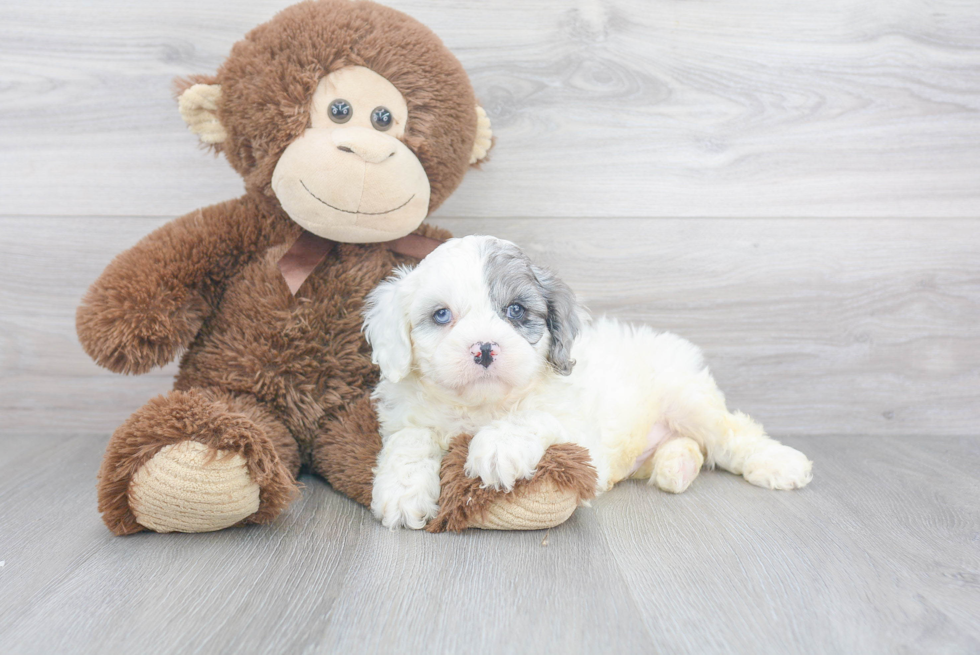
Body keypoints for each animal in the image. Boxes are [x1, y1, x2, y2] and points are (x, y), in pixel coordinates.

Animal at [360, 233, 812, 532]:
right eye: (441, 315)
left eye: (516, 310)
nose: (484, 349)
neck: (482, 407)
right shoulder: (409, 419)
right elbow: (409, 440)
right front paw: (402, 492)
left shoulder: (580, 435)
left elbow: (533, 417)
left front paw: (497, 448)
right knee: (690, 447)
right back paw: (677, 467)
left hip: (688, 398)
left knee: (731, 436)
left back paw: (780, 463)